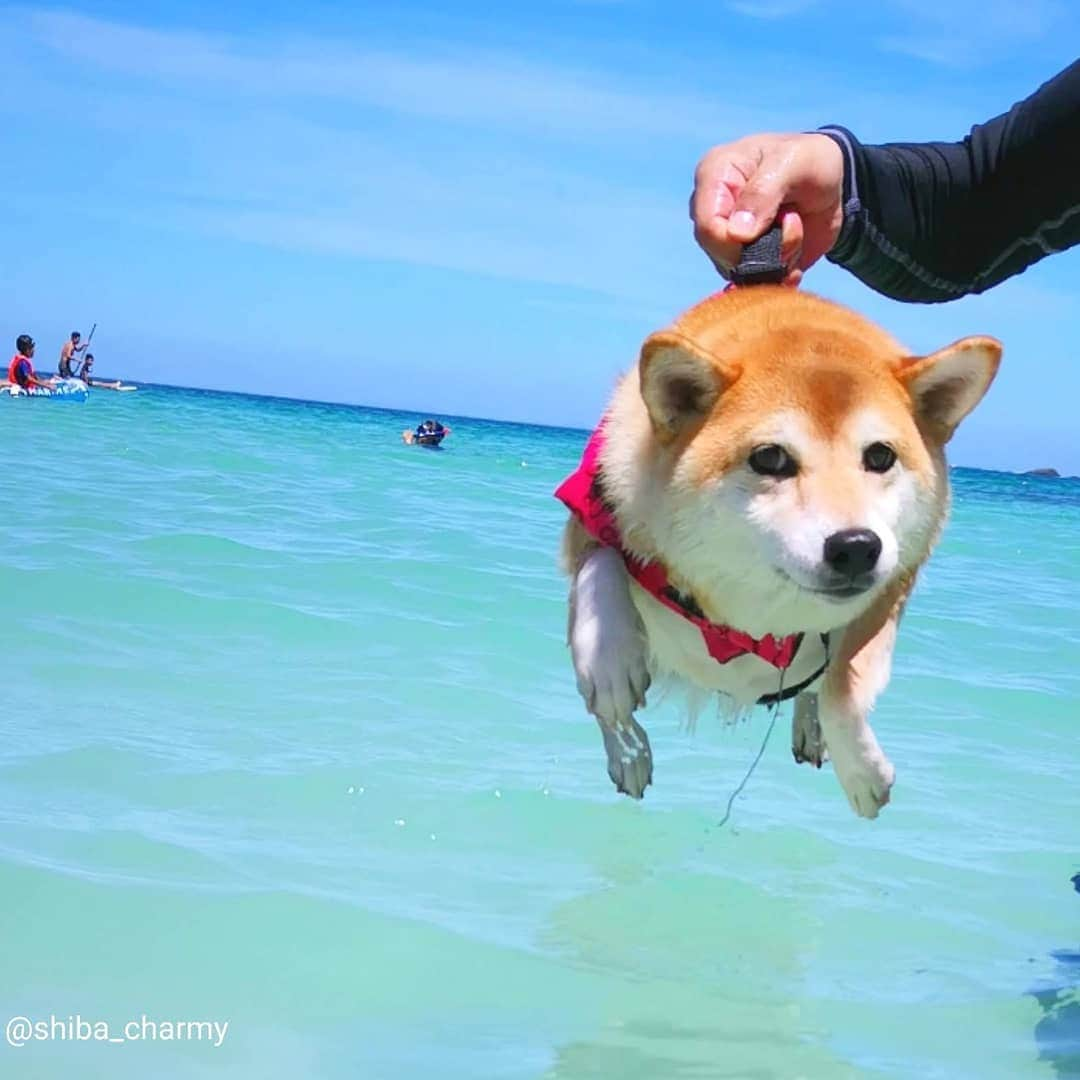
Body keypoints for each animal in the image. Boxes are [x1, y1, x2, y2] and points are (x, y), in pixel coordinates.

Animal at [561, 287, 997, 816]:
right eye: (769, 458)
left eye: (880, 456)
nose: (857, 547)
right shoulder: (596, 500)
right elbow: (600, 565)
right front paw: (609, 666)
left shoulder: (896, 579)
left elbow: (841, 686)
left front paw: (863, 771)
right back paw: (628, 754)